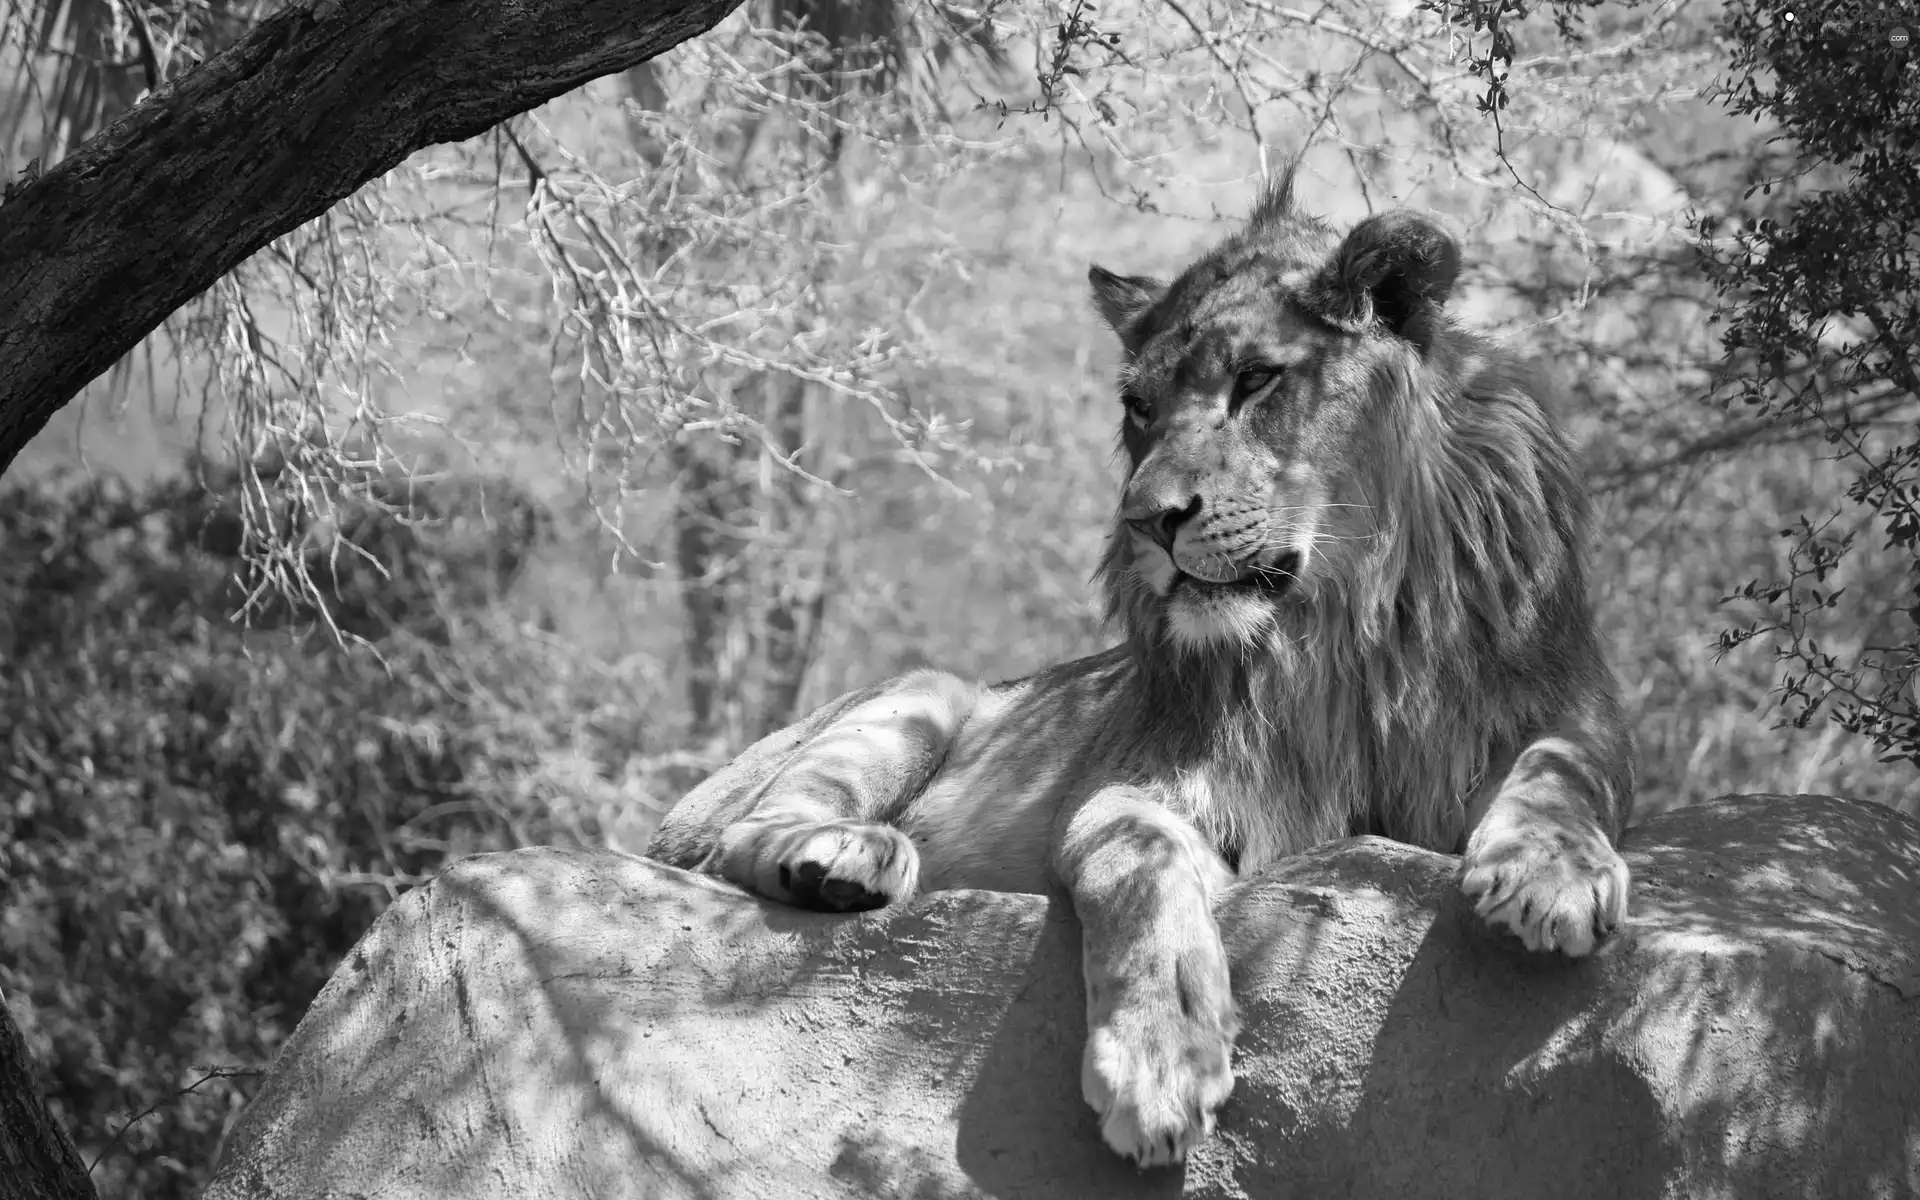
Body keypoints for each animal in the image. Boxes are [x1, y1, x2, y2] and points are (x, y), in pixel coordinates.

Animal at [648, 172, 1635, 1167]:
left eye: (1257, 378)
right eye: (1139, 409)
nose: (1145, 521)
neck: (1344, 626)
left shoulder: (1553, 711)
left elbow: (1564, 768)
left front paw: (1549, 872)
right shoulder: (1153, 782)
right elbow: (1140, 865)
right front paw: (1161, 1058)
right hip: (918, 694)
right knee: (742, 834)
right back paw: (842, 856)